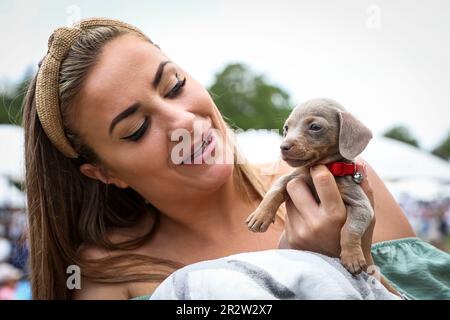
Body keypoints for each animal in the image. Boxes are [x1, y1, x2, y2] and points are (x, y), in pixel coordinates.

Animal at [246, 97, 372, 276]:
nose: (283, 147)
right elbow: (274, 192)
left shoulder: (362, 206)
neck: (323, 167)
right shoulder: (290, 178)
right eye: (286, 128)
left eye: (315, 127)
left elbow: (350, 229)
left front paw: (352, 256)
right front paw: (260, 215)